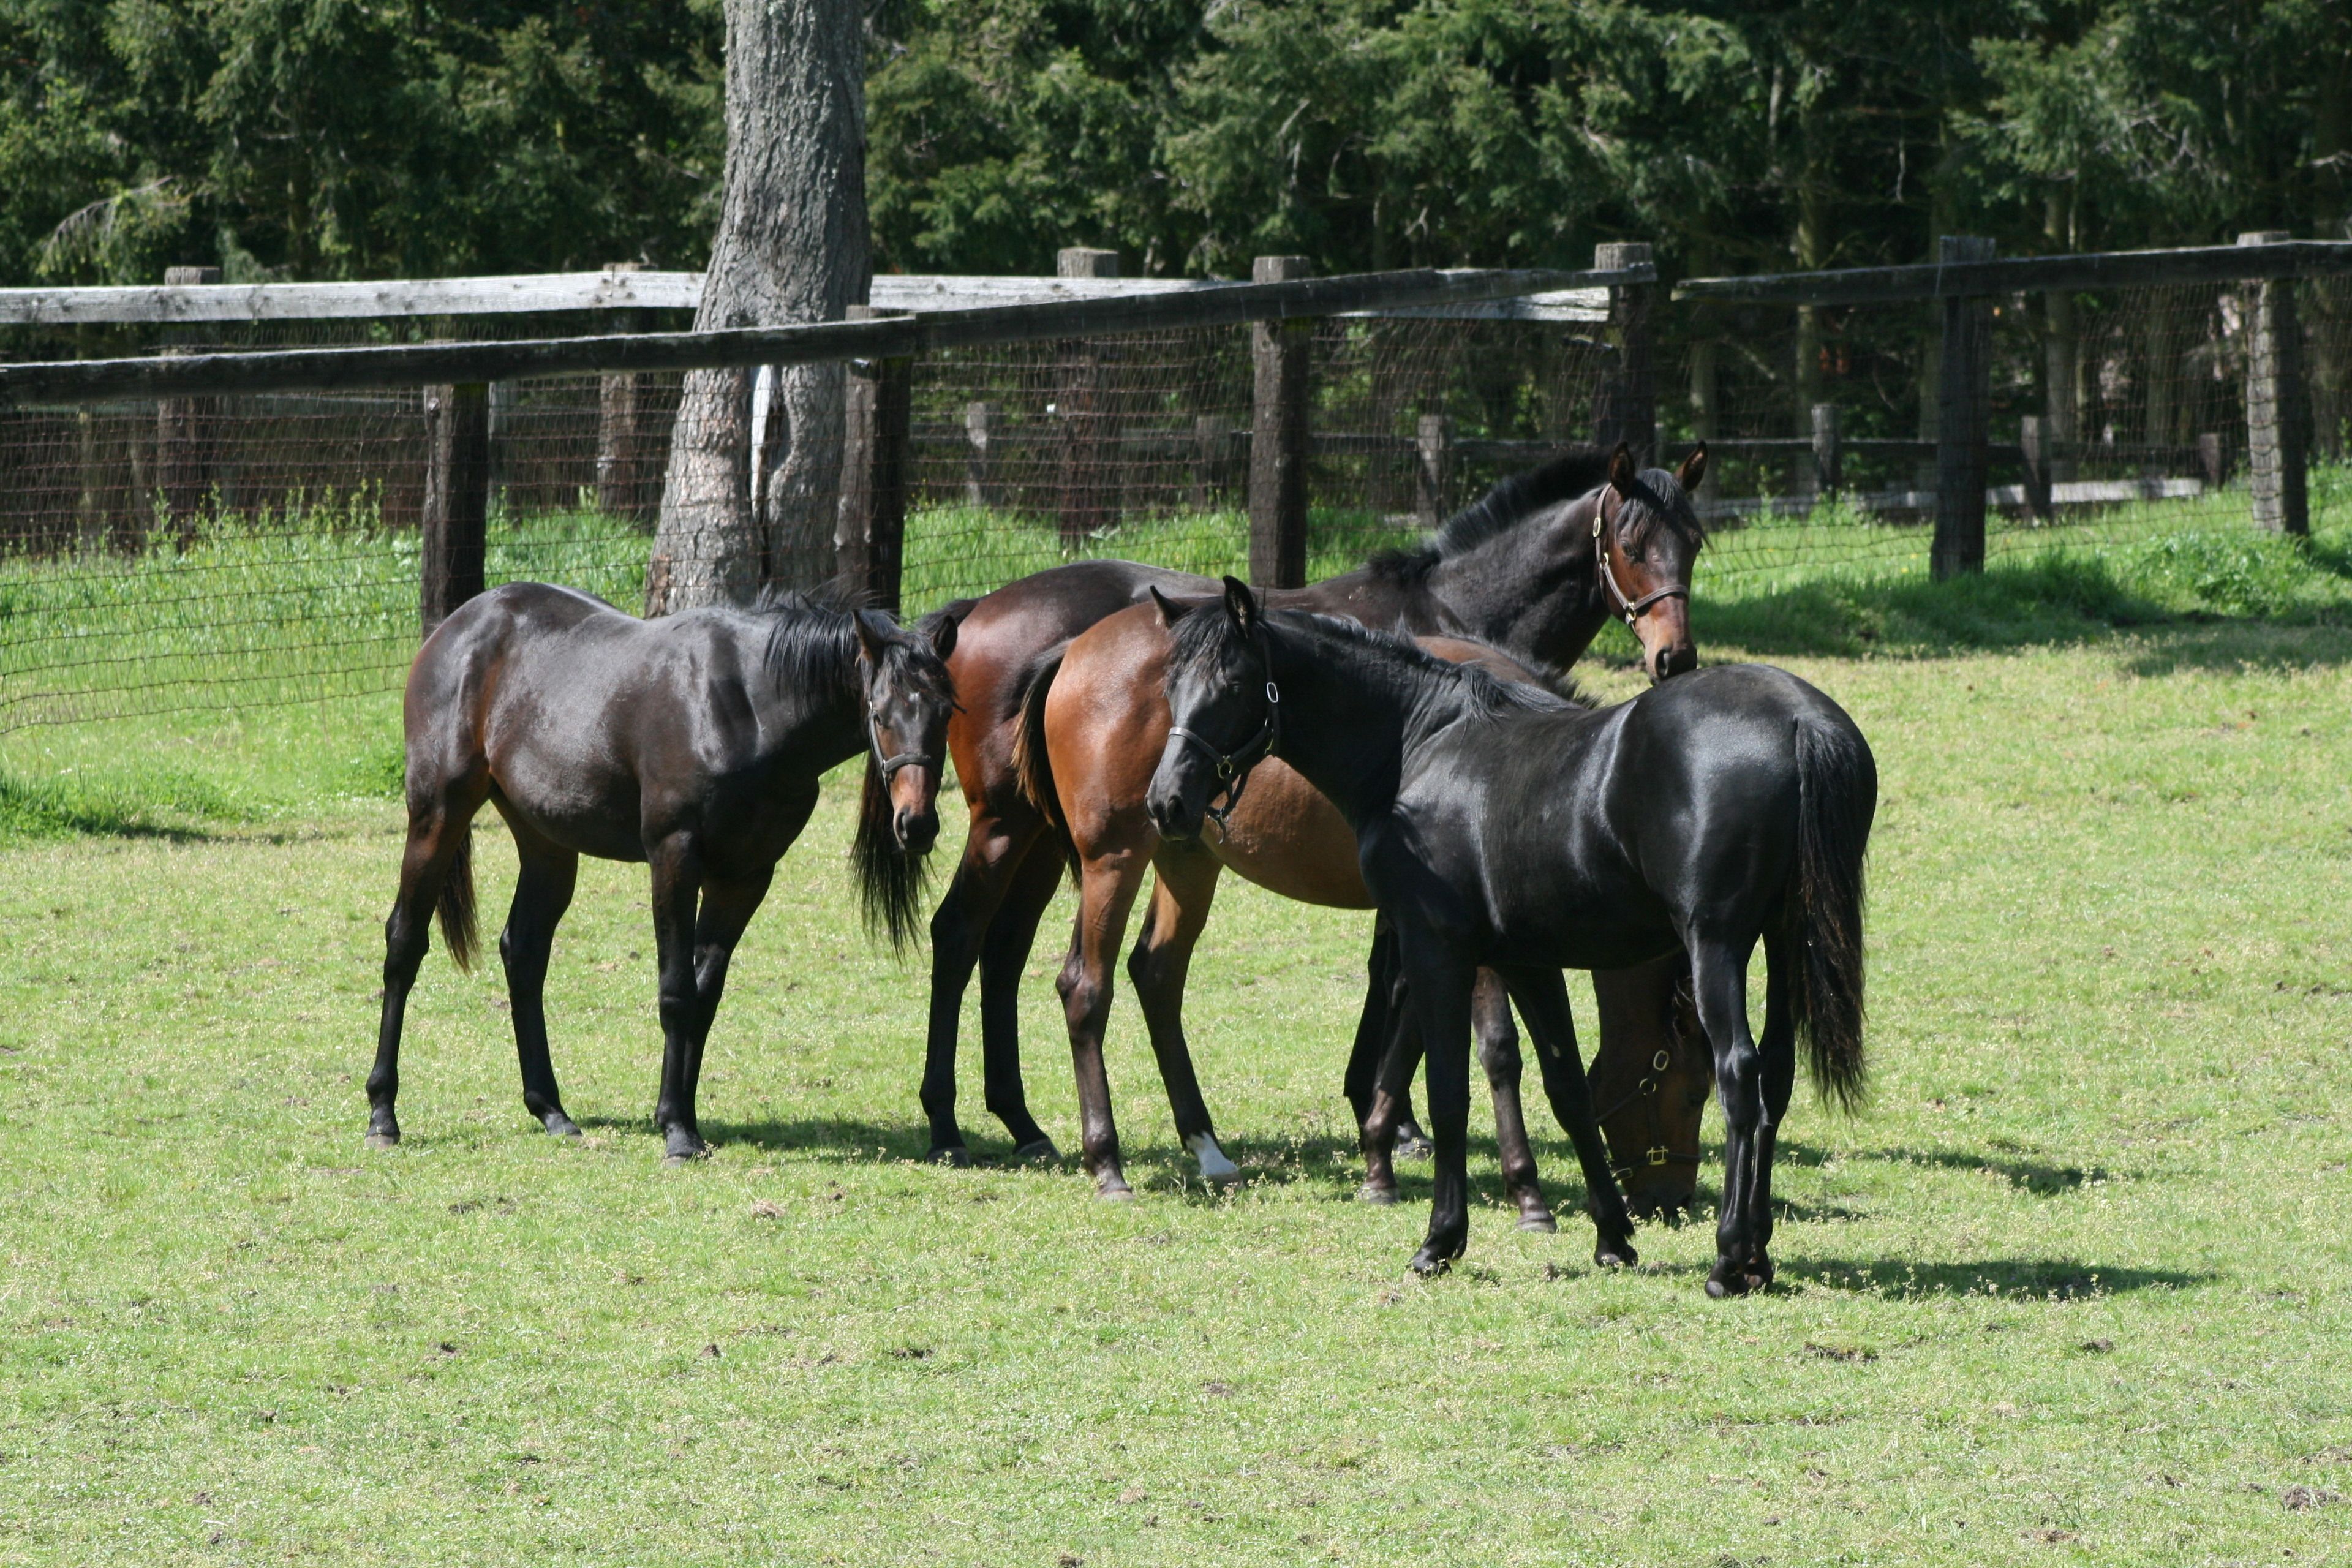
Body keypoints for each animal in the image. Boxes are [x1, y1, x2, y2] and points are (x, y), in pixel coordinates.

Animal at [364, 582, 960, 1164]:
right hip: (438, 814)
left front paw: (680, 1116)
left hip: (547, 842)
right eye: (879, 714)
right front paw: (677, 1132)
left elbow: (704, 997)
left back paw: (551, 1109)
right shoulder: (675, 858)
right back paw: (383, 1114)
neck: (748, 707)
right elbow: (676, 993)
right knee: (405, 944)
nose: (917, 825)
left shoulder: (746, 875)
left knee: (525, 952)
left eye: (947, 714)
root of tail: (456, 626)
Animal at [919, 442, 1709, 1171]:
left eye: (1695, 543)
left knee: (1067, 958)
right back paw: (965, 1125)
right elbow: (1401, 991)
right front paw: (1395, 1120)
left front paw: (1388, 1117)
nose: (1676, 658)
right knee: (978, 940)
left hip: (1117, 849)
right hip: (1048, 837)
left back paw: (1088, 1128)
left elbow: (1398, 990)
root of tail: (1063, 645)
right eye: (1632, 546)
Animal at [1148, 579, 1875, 1295]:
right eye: (1171, 687)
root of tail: (1799, 721)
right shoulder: (1528, 961)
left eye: (1234, 684)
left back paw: (1729, 1259)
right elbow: (1568, 1089)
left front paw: (1440, 1242)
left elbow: (1448, 1091)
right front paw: (1612, 1239)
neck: (1419, 744)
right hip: (1786, 941)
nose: (1167, 804)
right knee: (1775, 1076)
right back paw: (1757, 1256)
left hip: (1717, 944)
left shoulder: (1437, 949)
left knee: (1741, 1075)